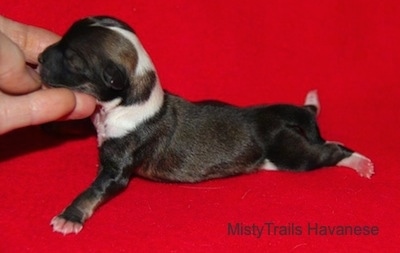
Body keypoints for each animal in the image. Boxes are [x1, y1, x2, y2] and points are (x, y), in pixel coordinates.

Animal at [39, 16, 374, 235]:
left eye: (73, 59)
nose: (40, 58)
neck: (129, 100)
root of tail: (269, 113)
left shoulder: (117, 170)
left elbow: (93, 190)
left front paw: (70, 217)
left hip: (291, 153)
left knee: (331, 151)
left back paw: (359, 163)